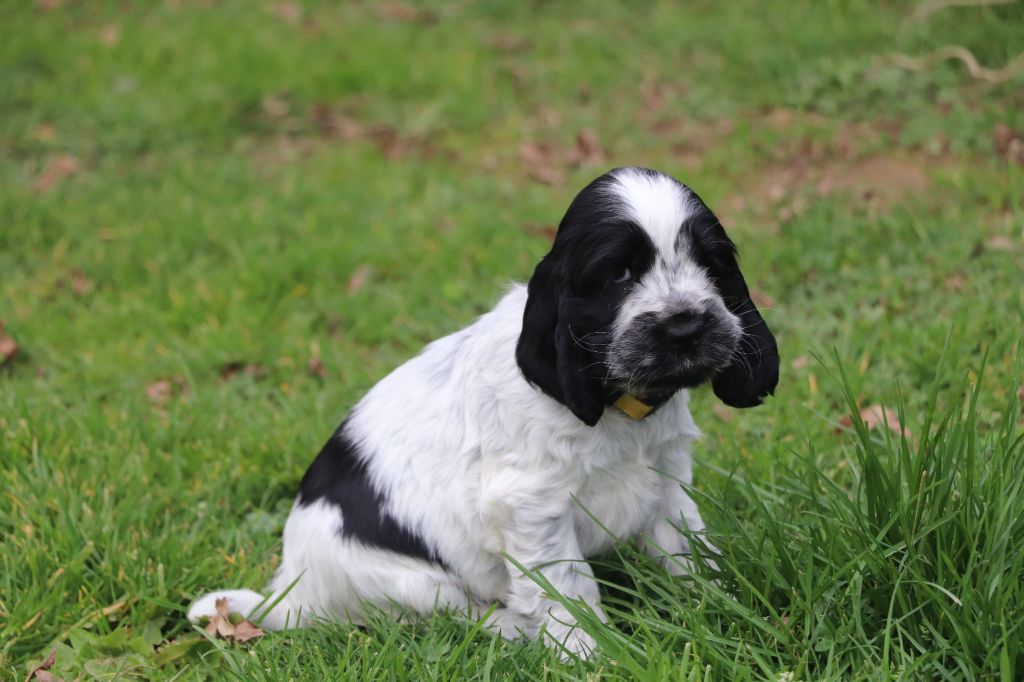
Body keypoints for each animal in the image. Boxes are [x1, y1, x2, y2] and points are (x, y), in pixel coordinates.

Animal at [188, 164, 778, 655]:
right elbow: (567, 591)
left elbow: (688, 550)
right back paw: (515, 627)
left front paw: (720, 608)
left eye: (710, 264)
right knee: (453, 615)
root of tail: (291, 590)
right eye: (619, 276)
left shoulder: (668, 478)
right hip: (409, 582)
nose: (686, 326)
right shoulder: (532, 508)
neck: (619, 403)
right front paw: (596, 656)